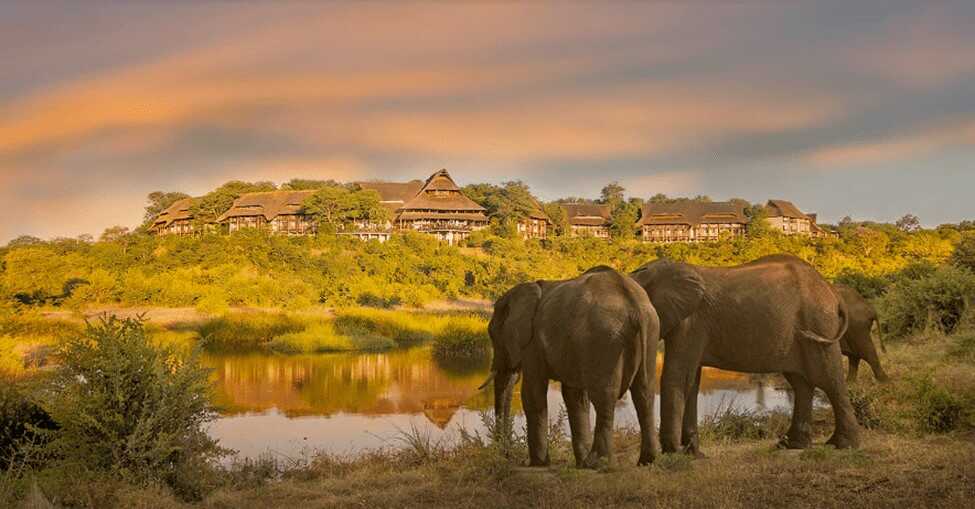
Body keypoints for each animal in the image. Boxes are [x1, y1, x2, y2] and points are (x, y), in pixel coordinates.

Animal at [488, 266, 664, 468]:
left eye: (492, 335)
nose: (506, 454)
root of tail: (633, 303)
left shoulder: (532, 345)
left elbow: (533, 394)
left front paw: (538, 464)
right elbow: (575, 396)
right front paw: (577, 463)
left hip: (606, 336)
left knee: (604, 397)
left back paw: (598, 463)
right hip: (650, 331)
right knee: (644, 393)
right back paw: (646, 461)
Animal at [628, 253, 856, 452]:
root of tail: (832, 291)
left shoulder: (690, 322)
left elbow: (677, 376)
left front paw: (674, 453)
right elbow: (691, 381)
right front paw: (693, 454)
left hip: (818, 323)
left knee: (829, 379)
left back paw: (844, 445)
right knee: (801, 384)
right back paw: (794, 445)